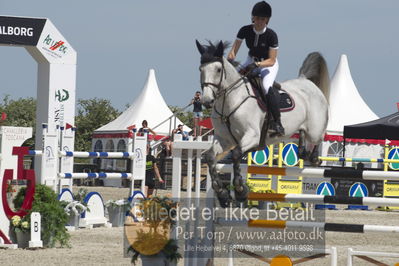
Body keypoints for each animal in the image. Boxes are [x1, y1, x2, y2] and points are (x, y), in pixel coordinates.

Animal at [197, 41, 332, 208]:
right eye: (201, 69)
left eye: (218, 69)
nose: (206, 101)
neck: (231, 100)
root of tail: (306, 81)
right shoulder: (224, 140)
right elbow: (210, 157)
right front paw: (223, 195)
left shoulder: (252, 136)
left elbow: (236, 155)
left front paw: (240, 191)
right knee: (302, 138)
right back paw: (303, 152)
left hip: (315, 129)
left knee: (320, 137)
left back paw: (313, 158)